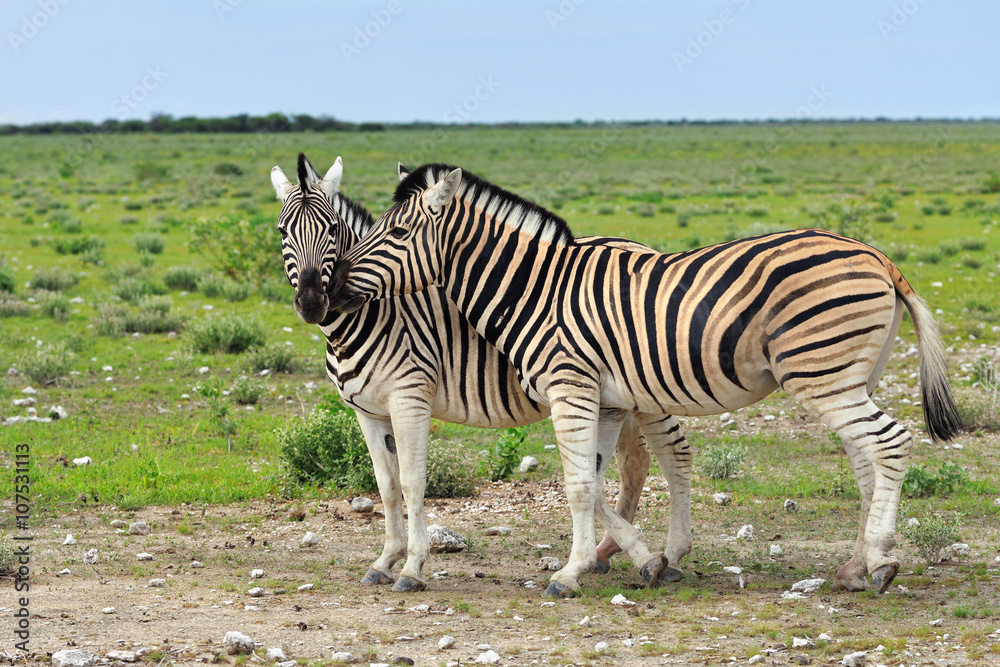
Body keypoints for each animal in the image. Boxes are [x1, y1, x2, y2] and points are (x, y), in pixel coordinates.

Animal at [271, 153, 694, 591]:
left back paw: (669, 555)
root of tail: (640, 246)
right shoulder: (367, 412)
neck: (373, 316)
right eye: (283, 231)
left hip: (647, 388)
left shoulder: (410, 399)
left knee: (673, 454)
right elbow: (387, 486)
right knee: (634, 464)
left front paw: (411, 566)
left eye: (332, 229)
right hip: (616, 397)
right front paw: (385, 560)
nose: (312, 302)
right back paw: (612, 552)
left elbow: (412, 482)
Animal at [328, 162, 962, 598]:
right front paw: (628, 559)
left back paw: (881, 561)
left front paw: (568, 574)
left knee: (890, 442)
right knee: (866, 458)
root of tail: (877, 255)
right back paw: (857, 566)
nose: (326, 291)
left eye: (396, 235)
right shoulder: (605, 400)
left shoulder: (570, 388)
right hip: (851, 377)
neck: (534, 289)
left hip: (822, 374)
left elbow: (578, 485)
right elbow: (596, 481)